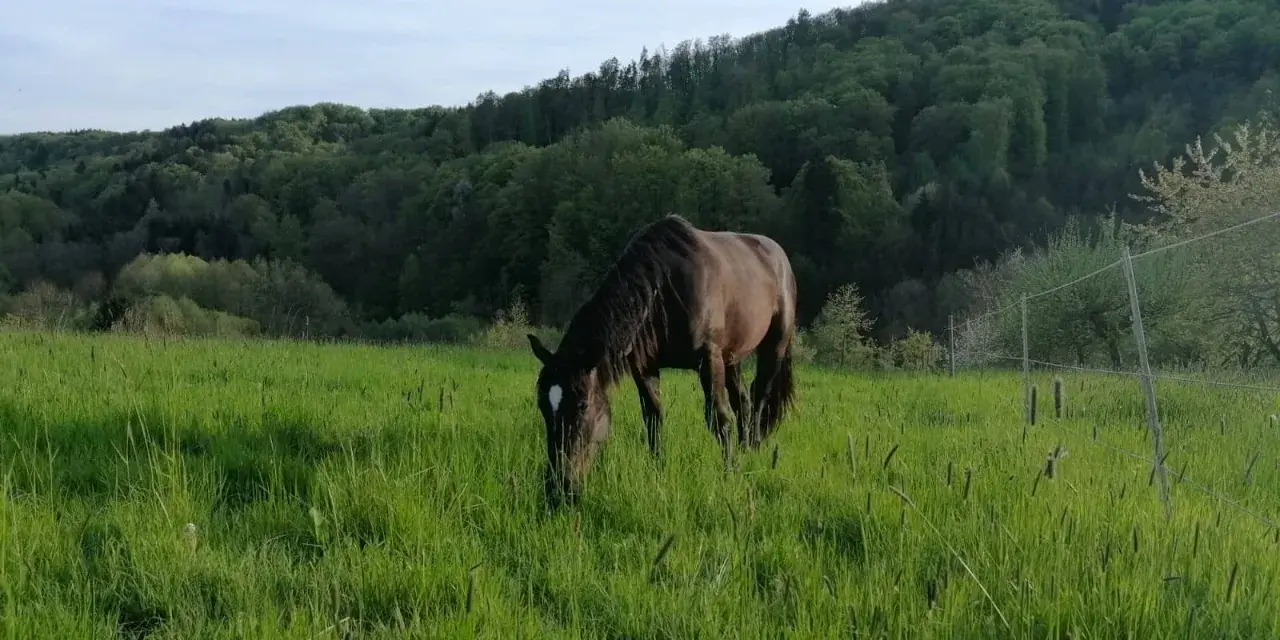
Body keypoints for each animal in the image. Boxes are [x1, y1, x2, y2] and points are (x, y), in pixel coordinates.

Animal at [526, 213, 798, 506]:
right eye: (543, 406)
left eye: (582, 405)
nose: (559, 489)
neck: (663, 288)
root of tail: (779, 255)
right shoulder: (645, 367)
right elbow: (653, 419)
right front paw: (657, 470)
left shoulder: (709, 358)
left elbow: (718, 418)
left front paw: (730, 473)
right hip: (732, 357)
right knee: (743, 403)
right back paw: (745, 448)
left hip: (773, 346)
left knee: (759, 398)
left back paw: (752, 452)